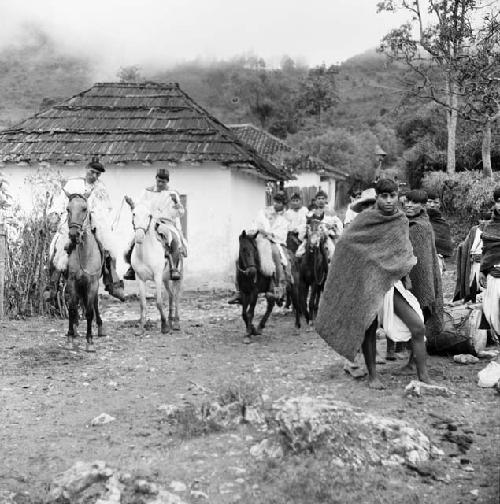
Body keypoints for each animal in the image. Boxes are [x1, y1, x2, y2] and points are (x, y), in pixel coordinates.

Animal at [130, 203, 183, 332]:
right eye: (134, 213)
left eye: (149, 215)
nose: (139, 237)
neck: (145, 254)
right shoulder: (140, 278)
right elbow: (142, 304)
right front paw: (141, 327)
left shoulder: (157, 277)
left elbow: (159, 302)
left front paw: (164, 326)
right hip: (166, 279)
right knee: (171, 295)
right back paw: (170, 320)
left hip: (177, 278)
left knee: (177, 296)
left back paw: (176, 323)